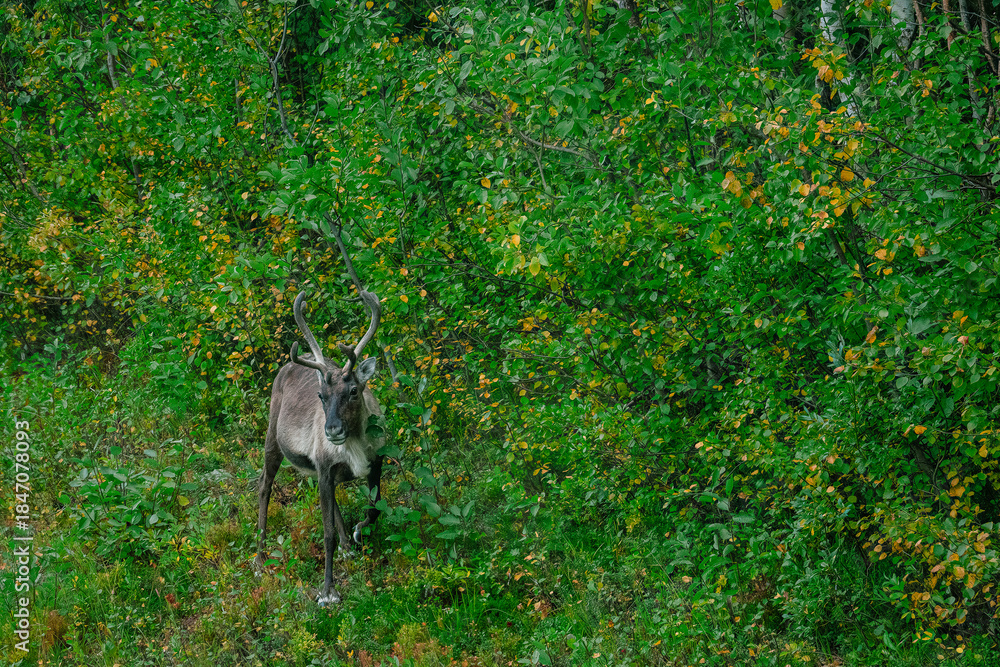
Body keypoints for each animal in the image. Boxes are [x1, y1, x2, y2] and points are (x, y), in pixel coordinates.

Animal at [255, 289, 385, 606]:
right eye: (321, 395)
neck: (356, 447)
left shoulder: (375, 461)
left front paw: (357, 533)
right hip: (272, 437)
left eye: (353, 390)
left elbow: (375, 507)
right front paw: (328, 592)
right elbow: (326, 534)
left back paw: (347, 548)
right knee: (264, 484)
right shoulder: (326, 469)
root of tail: (289, 364)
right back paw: (260, 559)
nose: (332, 430)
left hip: (317, 469)